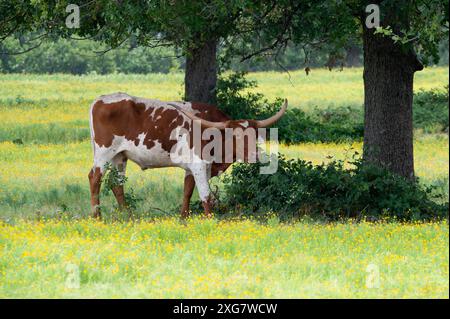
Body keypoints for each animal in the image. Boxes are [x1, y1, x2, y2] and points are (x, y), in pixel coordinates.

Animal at [88, 91, 286, 219]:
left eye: (255, 135)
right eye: (234, 136)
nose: (255, 155)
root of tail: (99, 100)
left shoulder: (193, 168)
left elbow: (187, 192)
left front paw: (184, 218)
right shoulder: (199, 165)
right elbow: (206, 196)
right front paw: (210, 220)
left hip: (120, 156)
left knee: (116, 184)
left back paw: (128, 216)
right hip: (103, 153)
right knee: (95, 178)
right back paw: (97, 216)